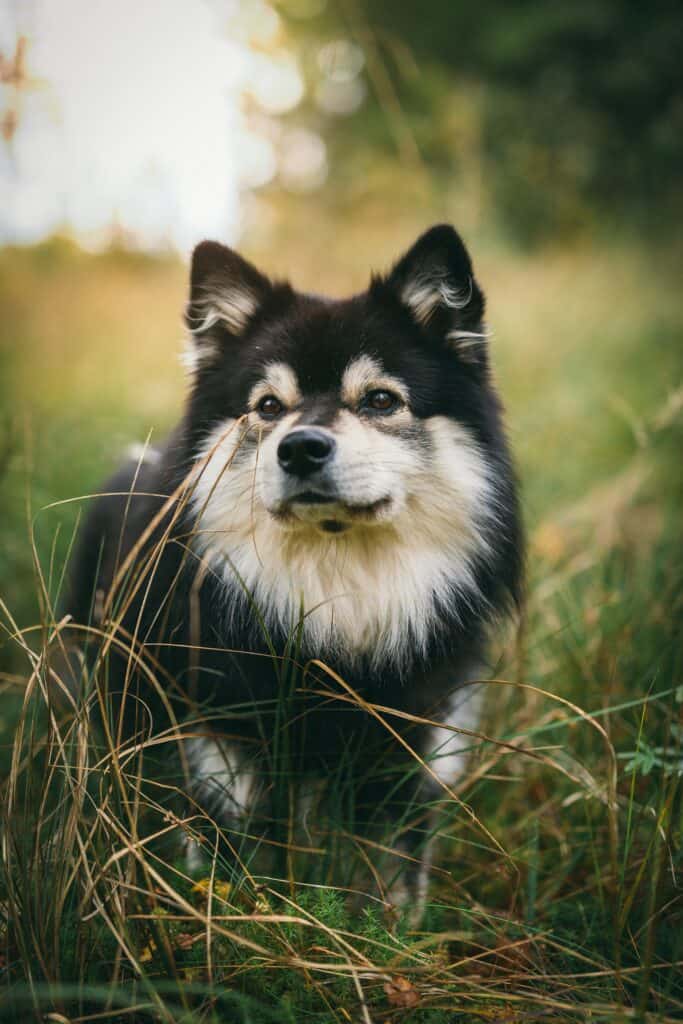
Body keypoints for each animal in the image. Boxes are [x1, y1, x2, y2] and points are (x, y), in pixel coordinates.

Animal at [63, 226, 524, 913]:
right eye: (267, 406)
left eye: (381, 400)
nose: (301, 447)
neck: (334, 595)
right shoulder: (223, 741)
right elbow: (233, 863)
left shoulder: (407, 746)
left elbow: (390, 875)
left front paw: (390, 931)